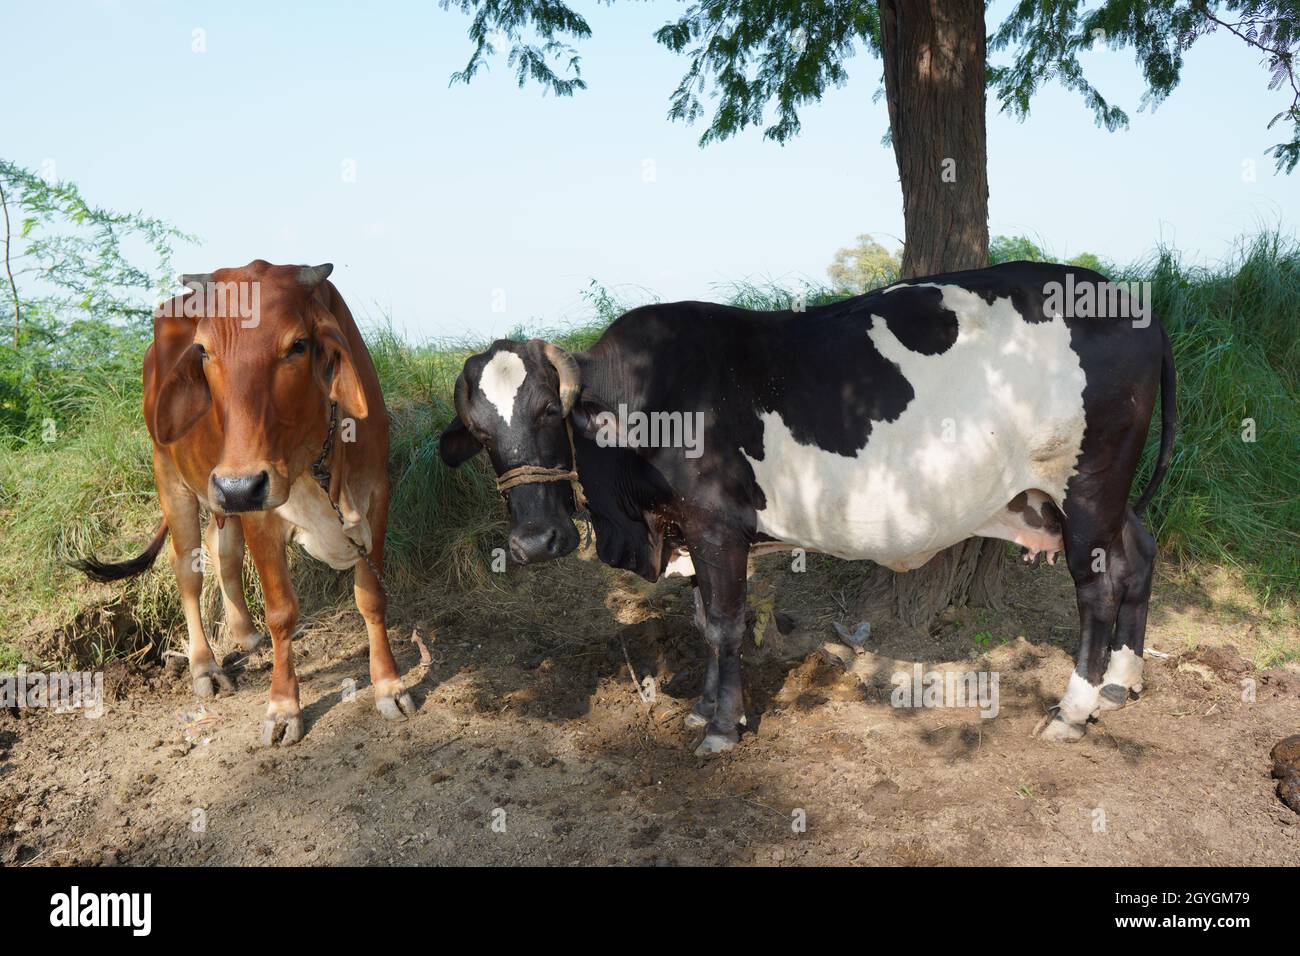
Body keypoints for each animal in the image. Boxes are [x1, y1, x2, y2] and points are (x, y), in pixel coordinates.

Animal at [73, 261, 408, 749]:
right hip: (175, 480)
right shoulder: (259, 513)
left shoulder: (375, 496)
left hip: (219, 498)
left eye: (297, 345)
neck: (313, 457)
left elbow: (371, 597)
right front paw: (284, 708)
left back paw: (246, 634)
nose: (239, 486)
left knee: (223, 552)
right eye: (203, 350)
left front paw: (389, 685)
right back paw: (205, 666)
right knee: (189, 570)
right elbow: (282, 612)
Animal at [439, 261, 1180, 754]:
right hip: (1082, 496)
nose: (535, 541)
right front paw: (704, 708)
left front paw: (722, 728)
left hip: (1087, 483)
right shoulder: (692, 531)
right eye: (478, 432)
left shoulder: (716, 525)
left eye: (547, 410)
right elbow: (704, 621)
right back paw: (1122, 682)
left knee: (1098, 586)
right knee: (1139, 555)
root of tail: (1122, 296)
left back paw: (1074, 708)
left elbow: (726, 625)